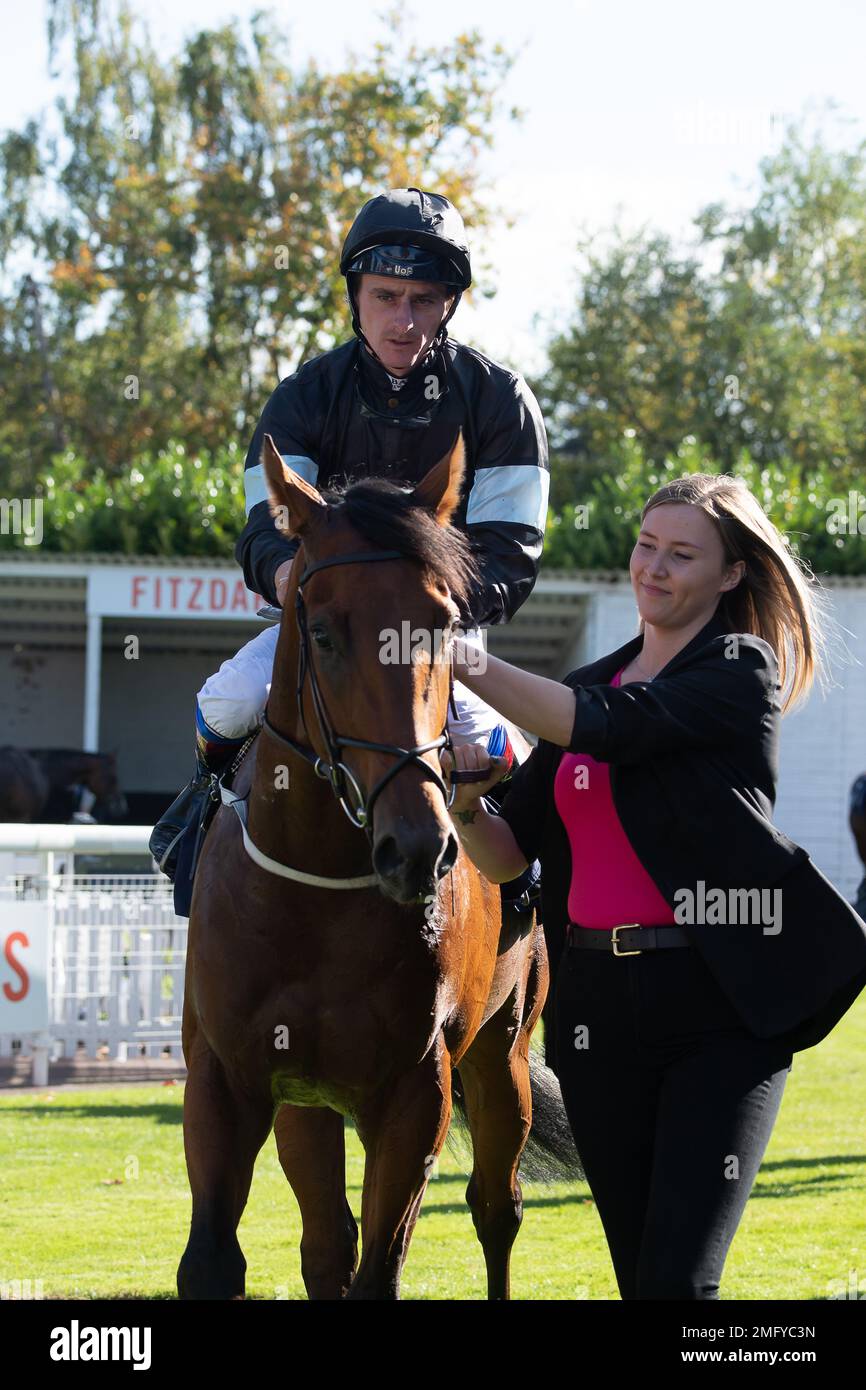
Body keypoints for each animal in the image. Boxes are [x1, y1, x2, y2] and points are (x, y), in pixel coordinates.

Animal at [177, 433, 569, 1301]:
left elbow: (381, 1269)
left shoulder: (416, 1091)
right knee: (327, 1243)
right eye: (322, 632)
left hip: (503, 1057)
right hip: (310, 1101)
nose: (418, 846)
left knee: (497, 1208)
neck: (319, 893)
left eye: (444, 625)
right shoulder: (228, 1079)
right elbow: (219, 1260)